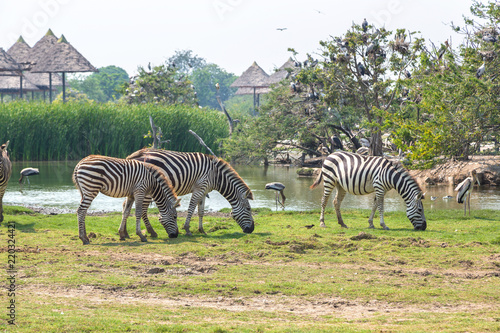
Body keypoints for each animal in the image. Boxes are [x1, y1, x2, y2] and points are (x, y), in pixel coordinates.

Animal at [121, 148, 254, 236]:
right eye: (248, 209)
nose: (252, 229)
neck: (216, 175)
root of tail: (134, 155)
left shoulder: (204, 190)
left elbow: (201, 211)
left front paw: (202, 230)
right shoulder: (199, 188)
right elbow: (191, 208)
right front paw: (187, 229)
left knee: (125, 205)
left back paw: (125, 232)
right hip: (148, 188)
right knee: (143, 210)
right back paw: (151, 232)